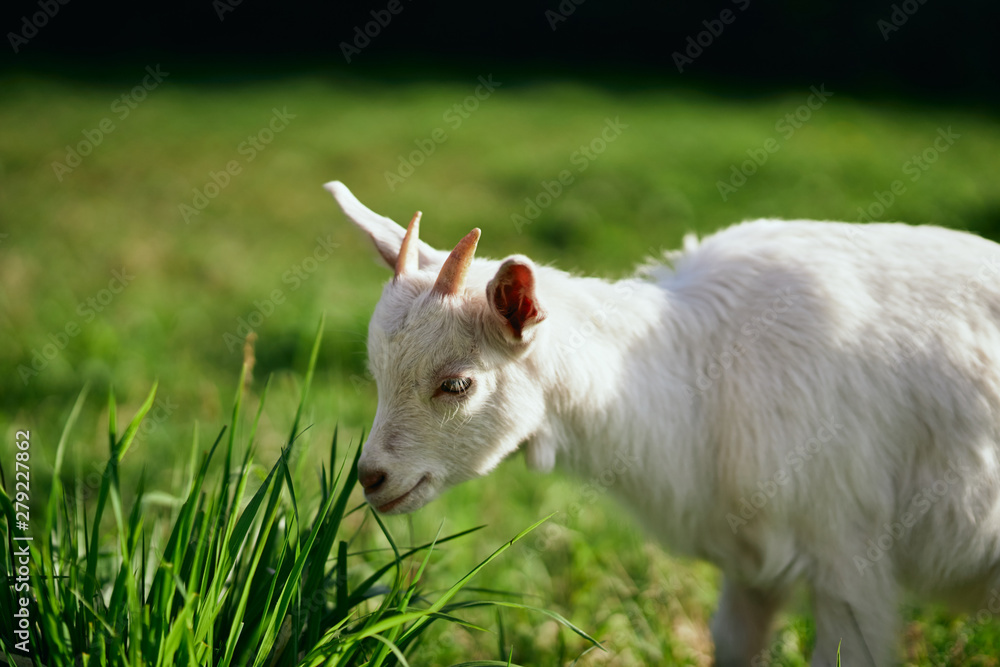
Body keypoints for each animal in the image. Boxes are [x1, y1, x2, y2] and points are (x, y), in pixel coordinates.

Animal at [326, 180, 1000, 666]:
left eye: (457, 383)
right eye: (377, 371)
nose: (372, 478)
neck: (704, 367)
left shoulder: (850, 552)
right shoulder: (754, 564)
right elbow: (733, 643)